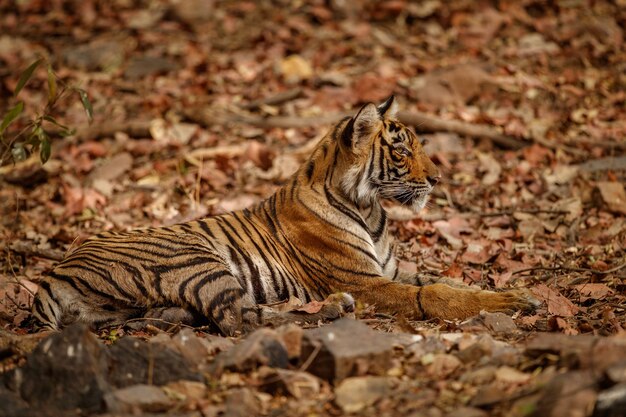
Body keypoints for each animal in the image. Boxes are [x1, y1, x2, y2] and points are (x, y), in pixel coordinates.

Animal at [30, 95, 536, 334]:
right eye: (401, 150)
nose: (437, 179)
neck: (369, 207)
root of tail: (55, 270)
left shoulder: (390, 272)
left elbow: (447, 282)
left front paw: (517, 293)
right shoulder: (364, 281)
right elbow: (434, 294)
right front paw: (513, 303)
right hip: (195, 260)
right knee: (241, 320)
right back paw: (332, 309)